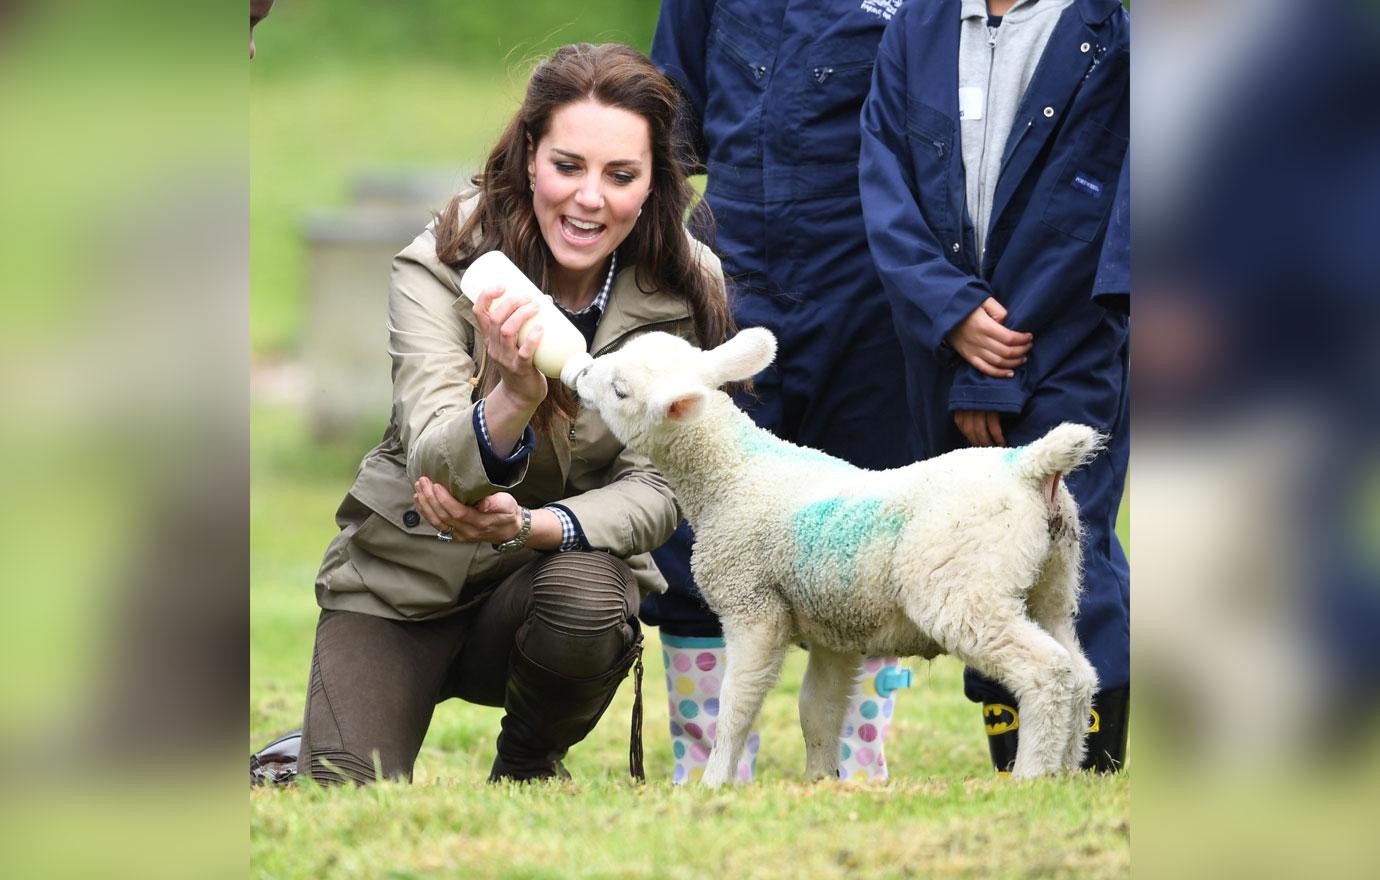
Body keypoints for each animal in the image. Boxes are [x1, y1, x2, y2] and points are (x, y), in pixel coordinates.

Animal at [565, 328, 1104, 783]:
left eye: (619, 390)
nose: (582, 372)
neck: (735, 474)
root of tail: (1027, 465)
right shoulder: (833, 627)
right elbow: (817, 711)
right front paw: (820, 781)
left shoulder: (752, 606)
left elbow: (736, 706)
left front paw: (714, 782)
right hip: (1052, 580)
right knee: (1080, 672)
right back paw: (1068, 771)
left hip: (964, 587)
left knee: (1047, 671)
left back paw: (1031, 775)